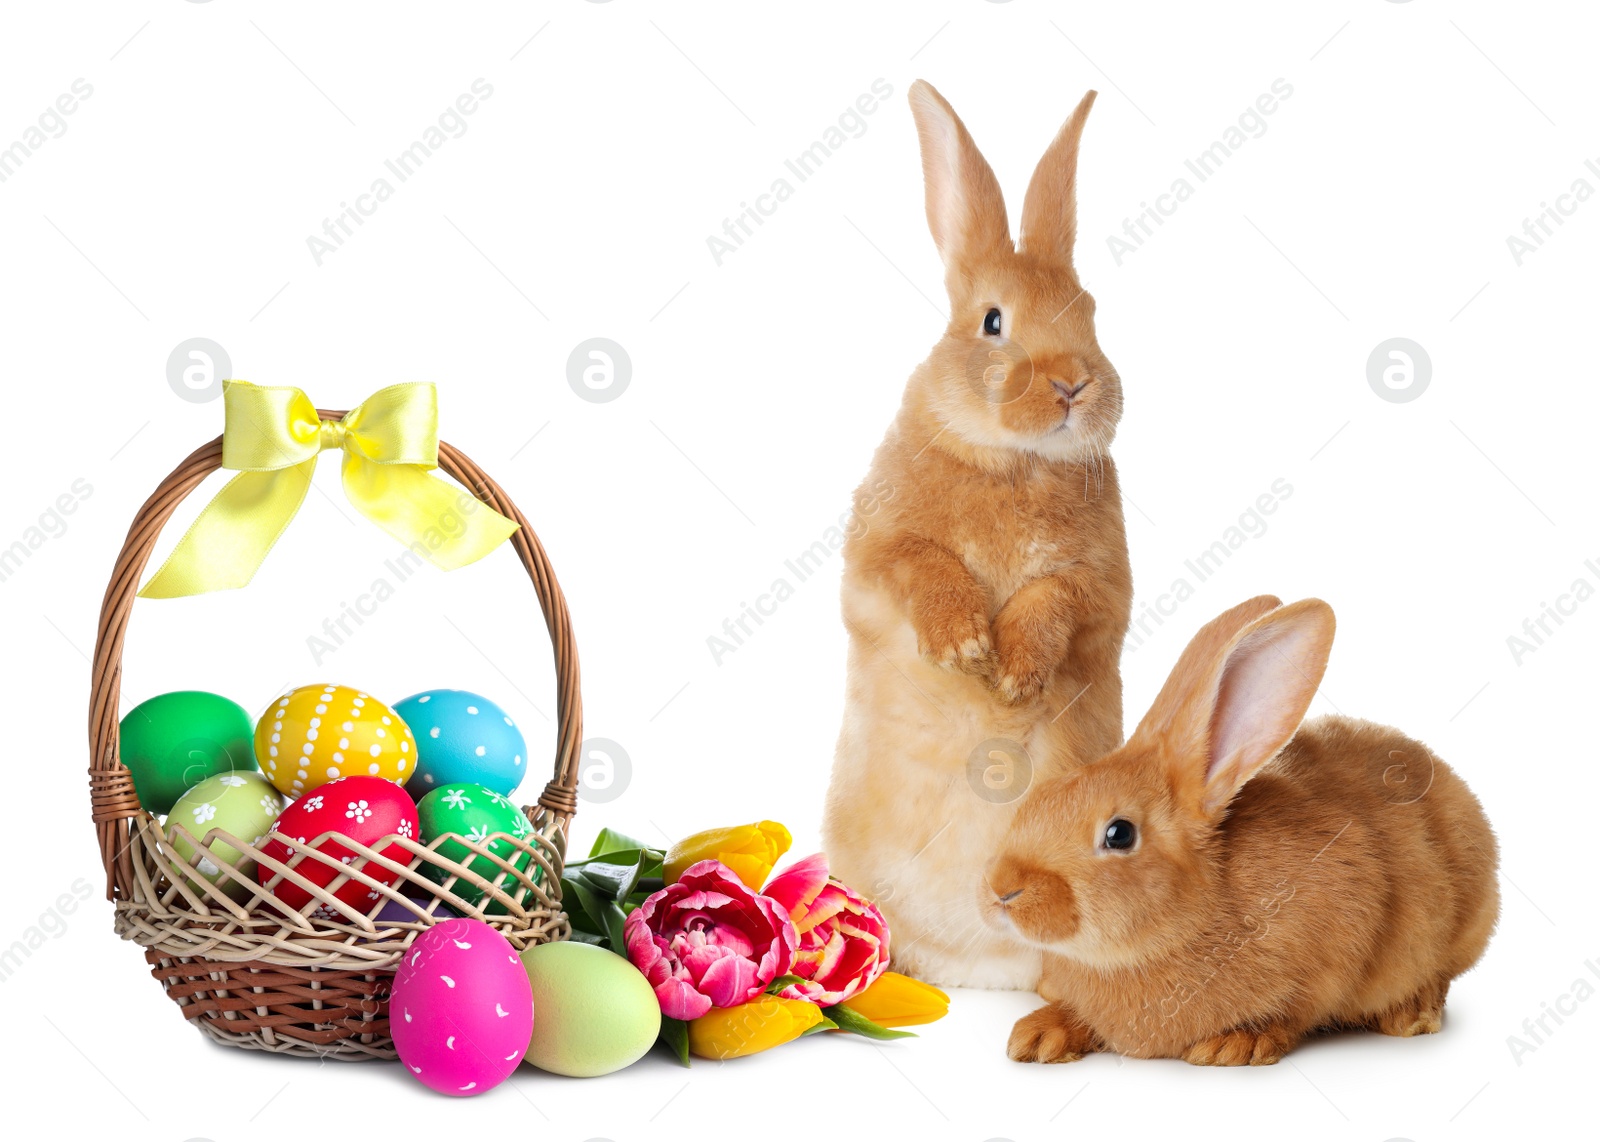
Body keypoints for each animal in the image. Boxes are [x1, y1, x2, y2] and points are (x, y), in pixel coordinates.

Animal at [825, 82, 1139, 985]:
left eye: (1091, 313)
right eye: (993, 321)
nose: (1073, 384)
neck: (1012, 460)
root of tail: (977, 972)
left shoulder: (1102, 588)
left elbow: (1055, 598)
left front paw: (1016, 673)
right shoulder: (873, 558)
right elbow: (918, 563)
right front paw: (964, 644)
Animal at [985, 594, 1497, 1055]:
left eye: (1119, 834)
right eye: (1041, 798)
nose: (1002, 889)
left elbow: (1294, 1009)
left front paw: (1238, 1043)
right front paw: (1039, 1035)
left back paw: (1412, 1013)